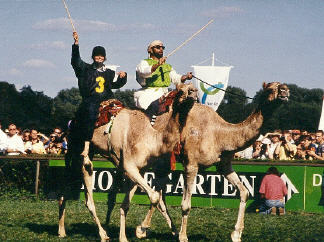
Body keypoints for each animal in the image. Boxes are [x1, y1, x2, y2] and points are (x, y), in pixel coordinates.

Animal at [58, 82, 199, 241]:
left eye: (193, 87)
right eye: (180, 90)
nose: (193, 92)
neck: (151, 139)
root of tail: (71, 124)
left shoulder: (138, 170)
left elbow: (126, 205)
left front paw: (124, 237)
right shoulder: (129, 166)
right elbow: (155, 196)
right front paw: (141, 230)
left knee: (66, 190)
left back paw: (62, 231)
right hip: (78, 151)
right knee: (86, 186)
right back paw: (101, 234)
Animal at [135, 82, 290, 241]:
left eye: (282, 86)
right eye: (270, 89)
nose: (285, 91)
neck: (219, 135)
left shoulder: (224, 165)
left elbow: (244, 192)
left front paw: (236, 234)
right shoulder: (191, 164)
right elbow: (186, 205)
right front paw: (183, 236)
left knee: (159, 195)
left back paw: (166, 230)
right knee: (155, 193)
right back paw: (144, 229)